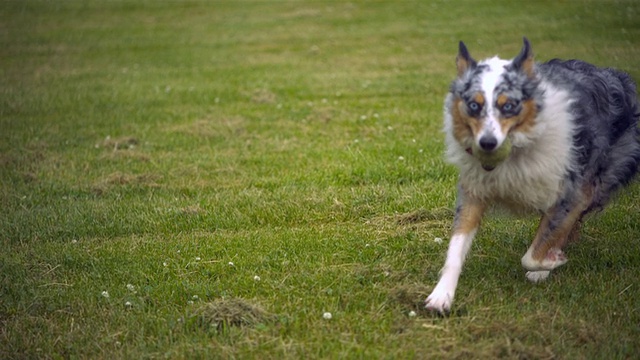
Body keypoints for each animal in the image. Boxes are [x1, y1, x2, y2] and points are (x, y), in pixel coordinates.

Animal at [424, 35, 640, 312]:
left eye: (509, 106)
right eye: (474, 105)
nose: (487, 143)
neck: (515, 152)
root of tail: (616, 74)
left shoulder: (573, 191)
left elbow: (533, 253)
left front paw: (550, 263)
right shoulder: (474, 190)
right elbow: (456, 247)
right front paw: (442, 295)